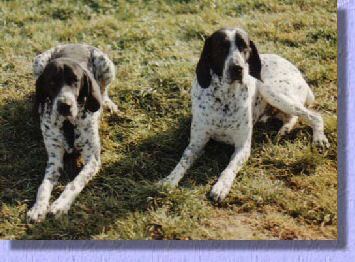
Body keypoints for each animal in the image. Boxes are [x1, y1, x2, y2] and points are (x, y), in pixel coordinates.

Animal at [27, 43, 118, 221]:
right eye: (51, 82)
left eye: (75, 80)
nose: (65, 105)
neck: (68, 123)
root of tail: (74, 43)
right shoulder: (54, 160)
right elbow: (43, 186)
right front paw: (38, 208)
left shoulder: (92, 160)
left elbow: (75, 183)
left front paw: (60, 204)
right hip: (38, 62)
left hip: (107, 66)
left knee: (104, 90)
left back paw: (107, 103)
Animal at [160, 27, 330, 203]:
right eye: (221, 47)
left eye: (244, 47)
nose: (237, 68)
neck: (224, 98)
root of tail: (296, 70)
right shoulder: (196, 143)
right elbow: (183, 160)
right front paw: (169, 179)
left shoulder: (243, 147)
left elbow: (229, 168)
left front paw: (221, 186)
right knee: (293, 116)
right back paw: (285, 130)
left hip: (270, 90)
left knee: (313, 116)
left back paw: (318, 139)